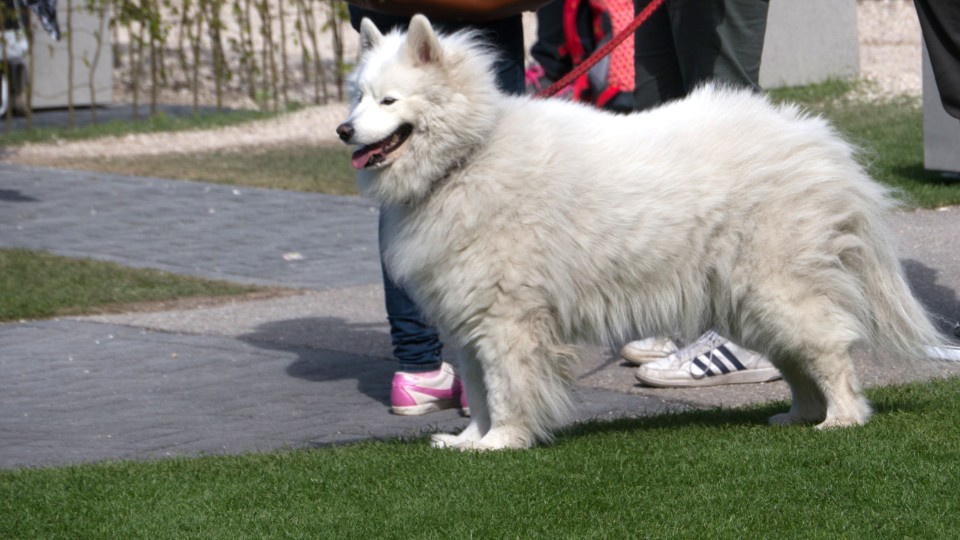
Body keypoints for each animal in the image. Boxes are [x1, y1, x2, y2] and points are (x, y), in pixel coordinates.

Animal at [337, 15, 946, 450]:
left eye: (389, 100)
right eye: (357, 96)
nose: (343, 130)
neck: (469, 157)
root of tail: (818, 139)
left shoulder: (507, 320)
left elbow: (505, 390)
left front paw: (502, 443)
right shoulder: (468, 323)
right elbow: (482, 394)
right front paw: (469, 441)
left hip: (775, 289)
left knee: (828, 351)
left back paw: (841, 420)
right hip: (750, 301)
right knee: (798, 362)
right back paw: (798, 416)